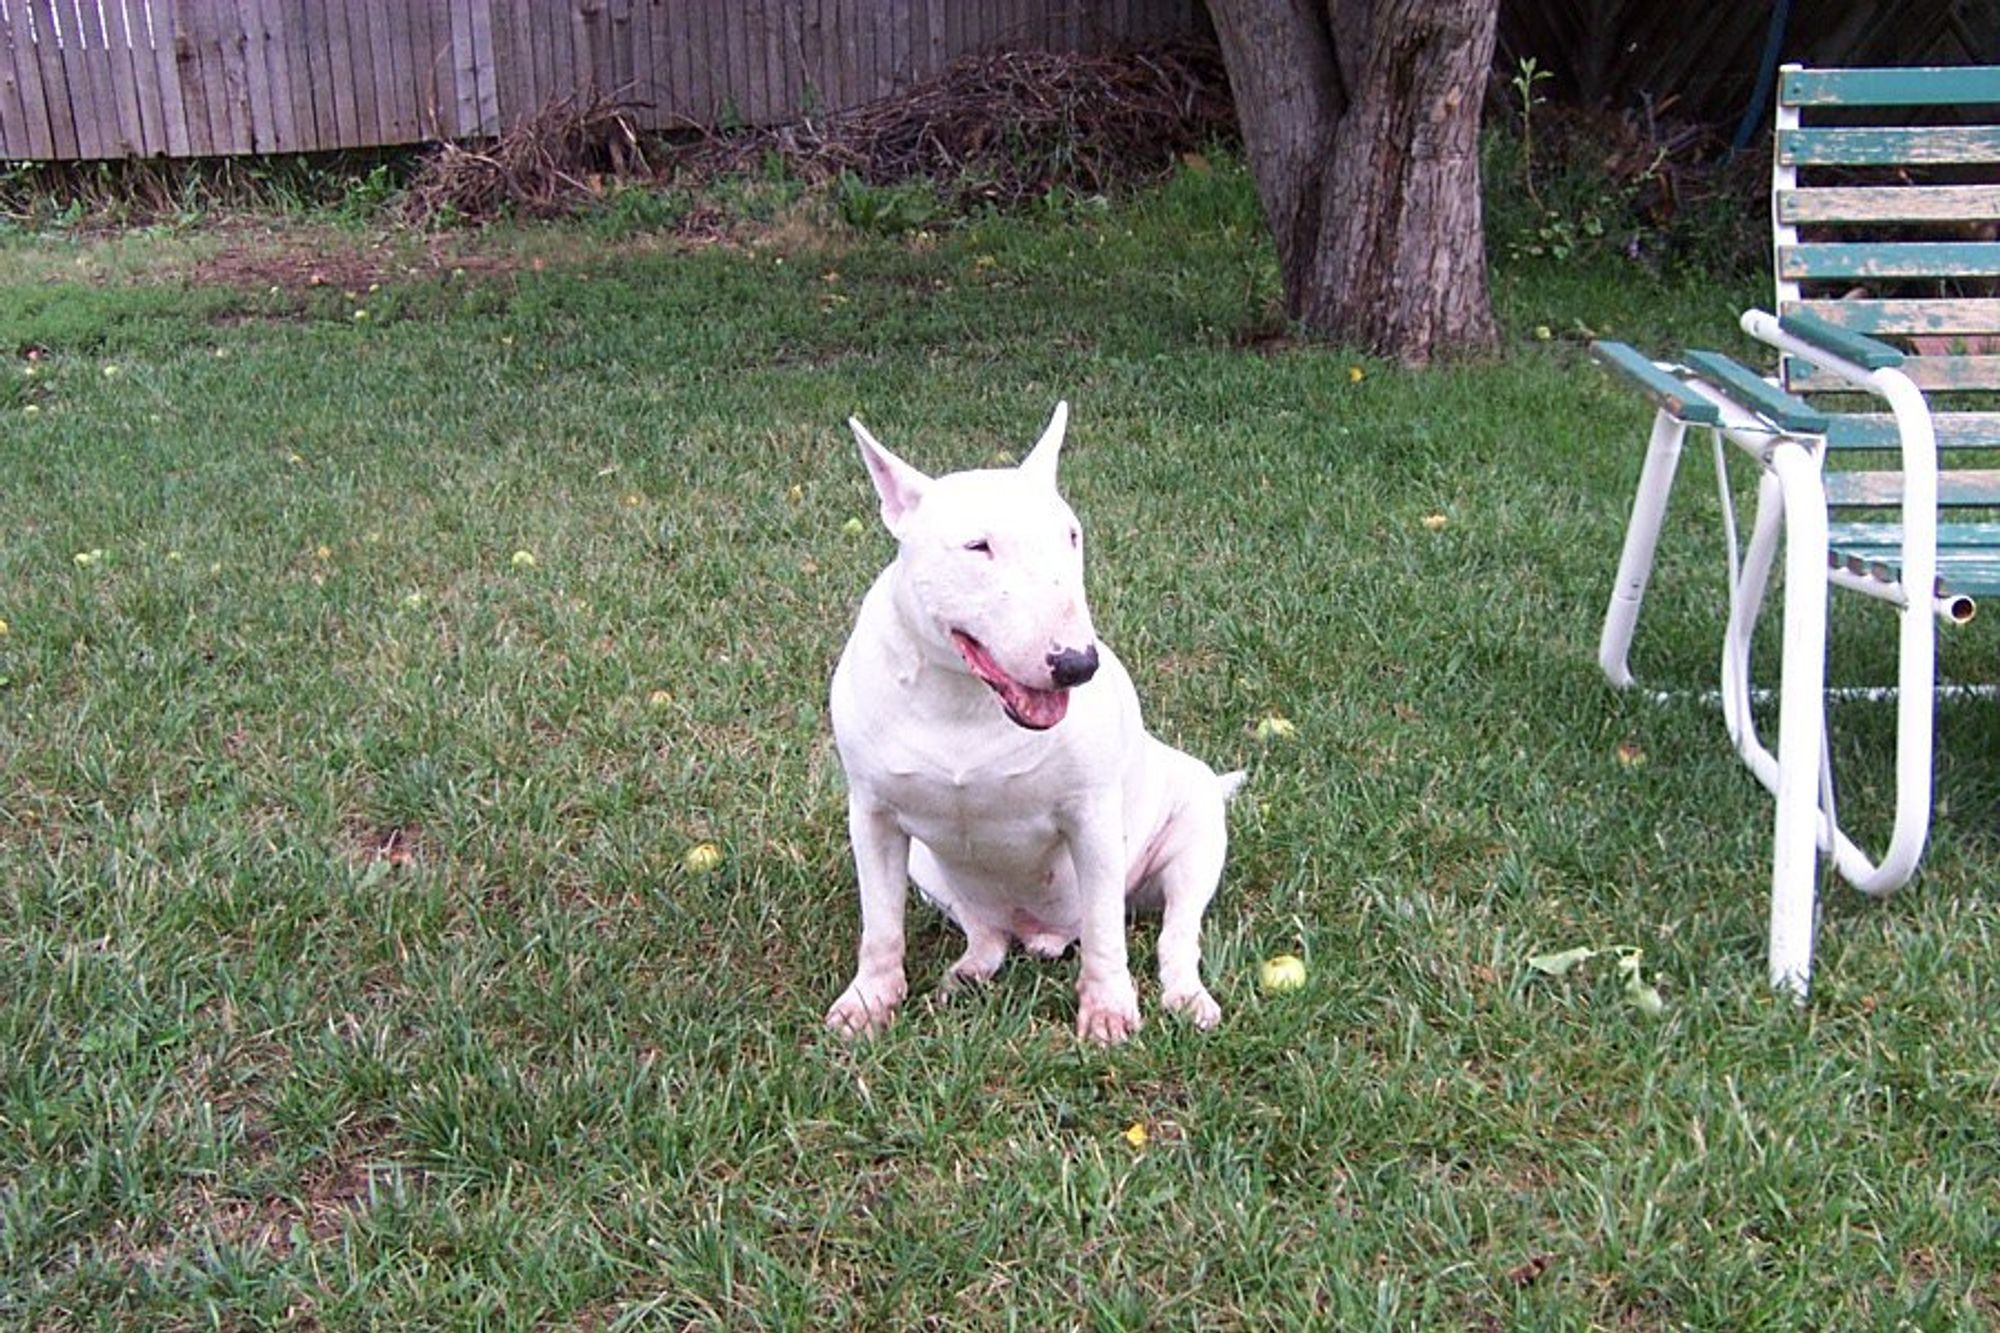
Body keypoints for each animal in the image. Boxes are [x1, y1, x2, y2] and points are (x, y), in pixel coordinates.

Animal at [824, 400, 1232, 1040]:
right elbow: (881, 923)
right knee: (984, 930)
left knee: (1175, 932)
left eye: (1071, 535)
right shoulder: (872, 815)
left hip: (1197, 827)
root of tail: (1042, 933)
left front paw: (1108, 1010)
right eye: (978, 547)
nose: (1077, 664)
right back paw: (967, 971)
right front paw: (867, 1003)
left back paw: (1187, 996)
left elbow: (1106, 929)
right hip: (930, 870)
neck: (964, 703)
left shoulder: (1092, 816)